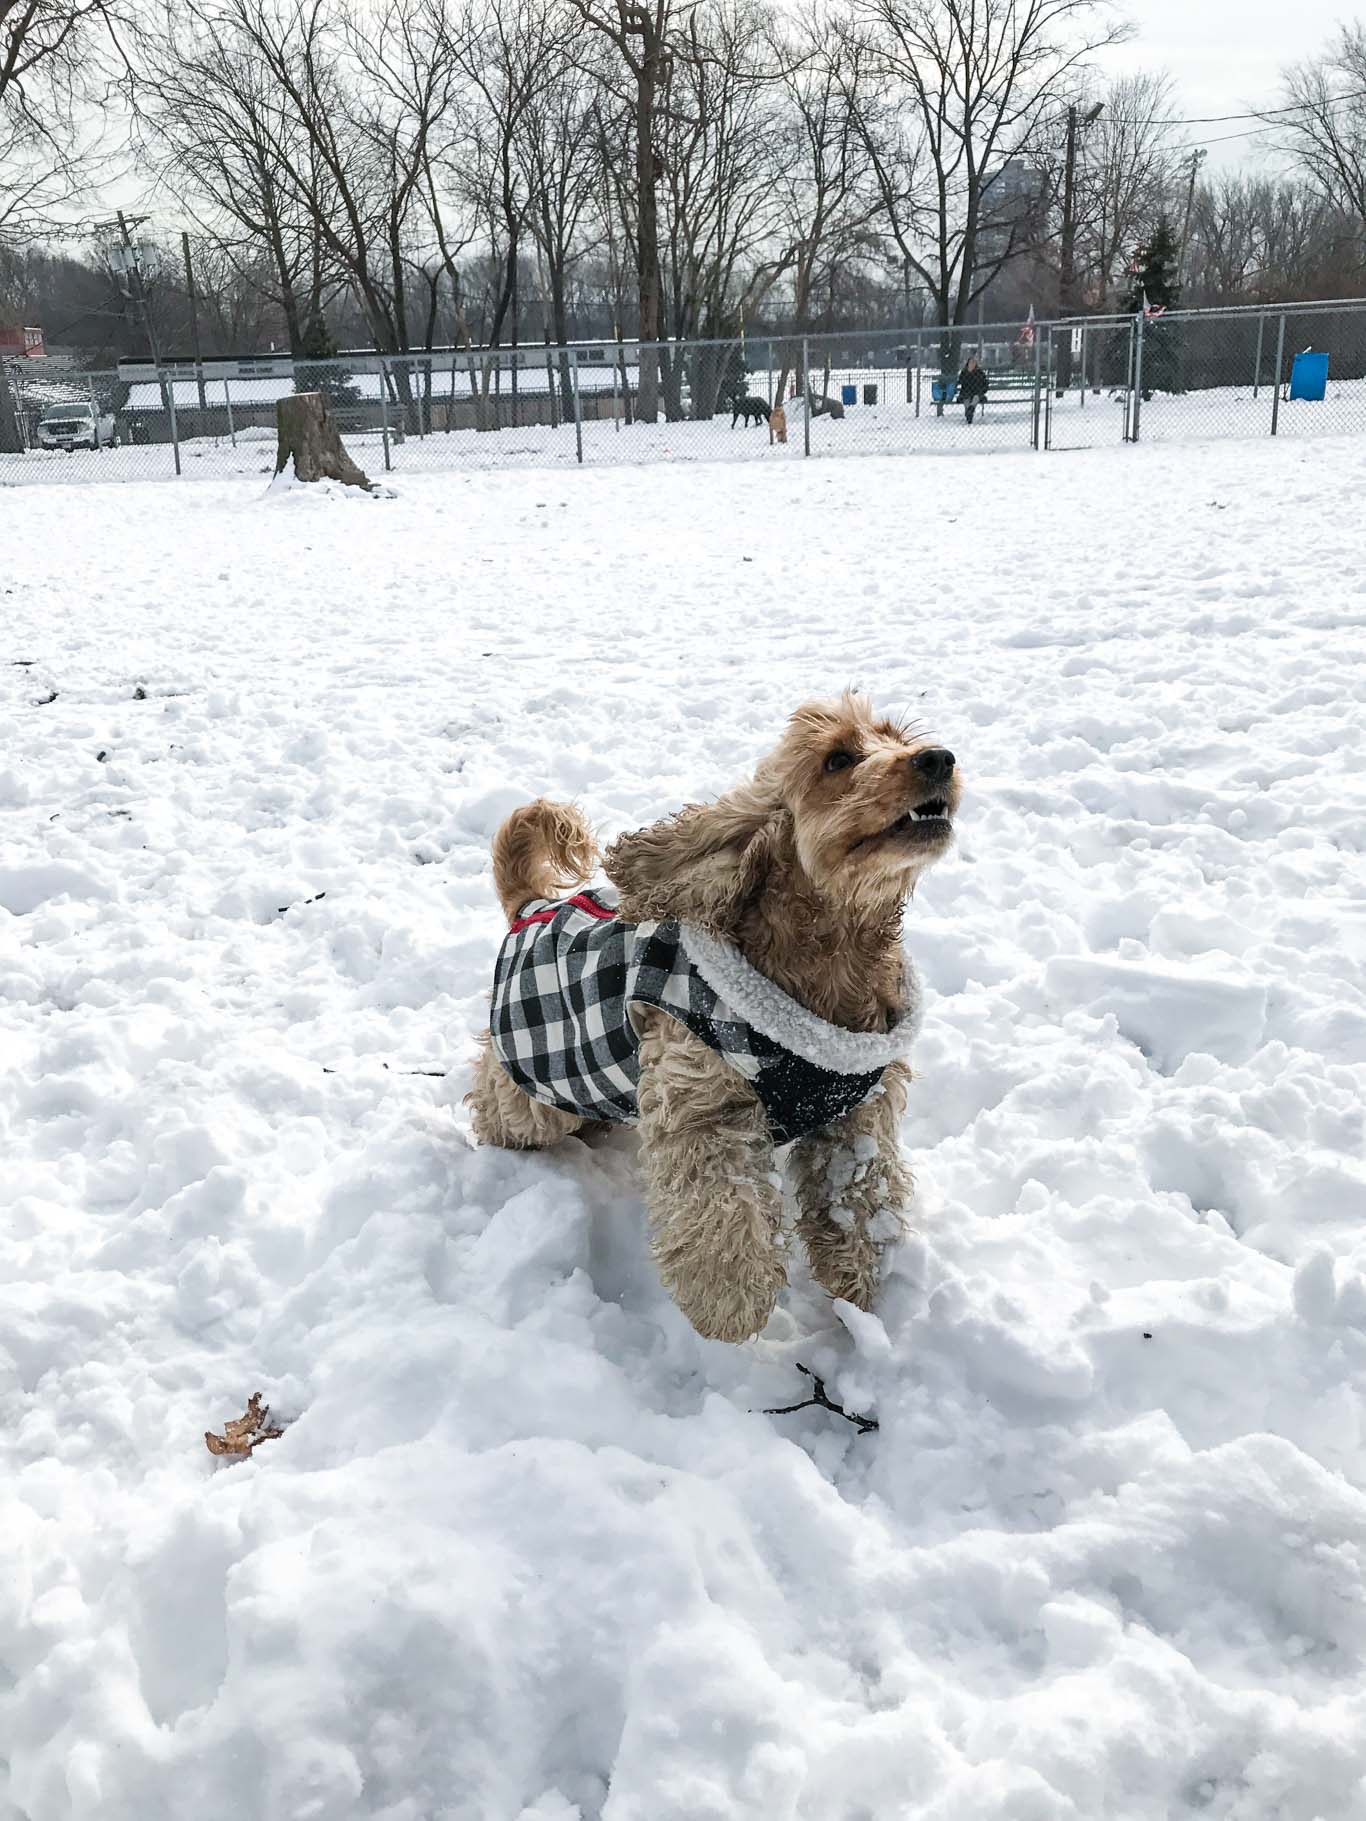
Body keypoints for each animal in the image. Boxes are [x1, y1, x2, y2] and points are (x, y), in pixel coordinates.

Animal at [469, 688, 961, 1347]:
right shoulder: (702, 1102)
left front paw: (858, 1279)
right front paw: (730, 1305)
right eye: (837, 759)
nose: (939, 758)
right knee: (498, 1097)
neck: (831, 960)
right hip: (543, 1081)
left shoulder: (858, 1109)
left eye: (901, 738)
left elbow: (856, 1195)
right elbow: (721, 1209)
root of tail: (531, 907)